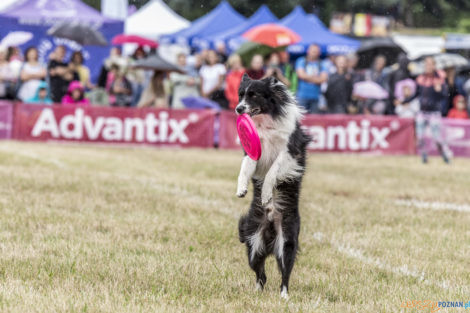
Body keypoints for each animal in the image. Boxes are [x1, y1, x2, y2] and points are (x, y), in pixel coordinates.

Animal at [237, 72, 310, 298]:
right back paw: (257, 290)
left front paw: (267, 194)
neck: (265, 122)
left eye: (254, 95)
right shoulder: (254, 150)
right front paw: (241, 188)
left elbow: (273, 171)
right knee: (261, 273)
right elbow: (246, 166)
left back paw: (284, 296)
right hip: (253, 242)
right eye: (240, 95)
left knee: (284, 273)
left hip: (286, 241)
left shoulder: (290, 152)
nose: (238, 109)